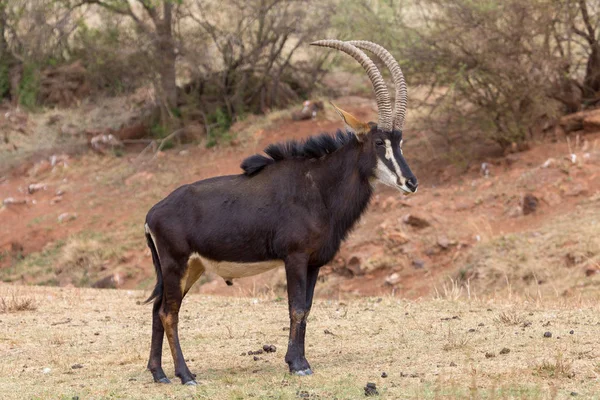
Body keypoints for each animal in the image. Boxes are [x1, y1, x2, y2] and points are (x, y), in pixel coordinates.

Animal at [144, 39, 418, 384]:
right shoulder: (295, 257)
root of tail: (152, 214)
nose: (411, 182)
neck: (318, 186)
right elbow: (296, 307)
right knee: (169, 312)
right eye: (379, 142)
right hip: (176, 264)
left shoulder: (315, 262)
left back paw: (159, 374)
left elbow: (308, 308)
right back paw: (185, 374)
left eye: (400, 142)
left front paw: (297, 360)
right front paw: (298, 364)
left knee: (158, 310)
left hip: (190, 268)